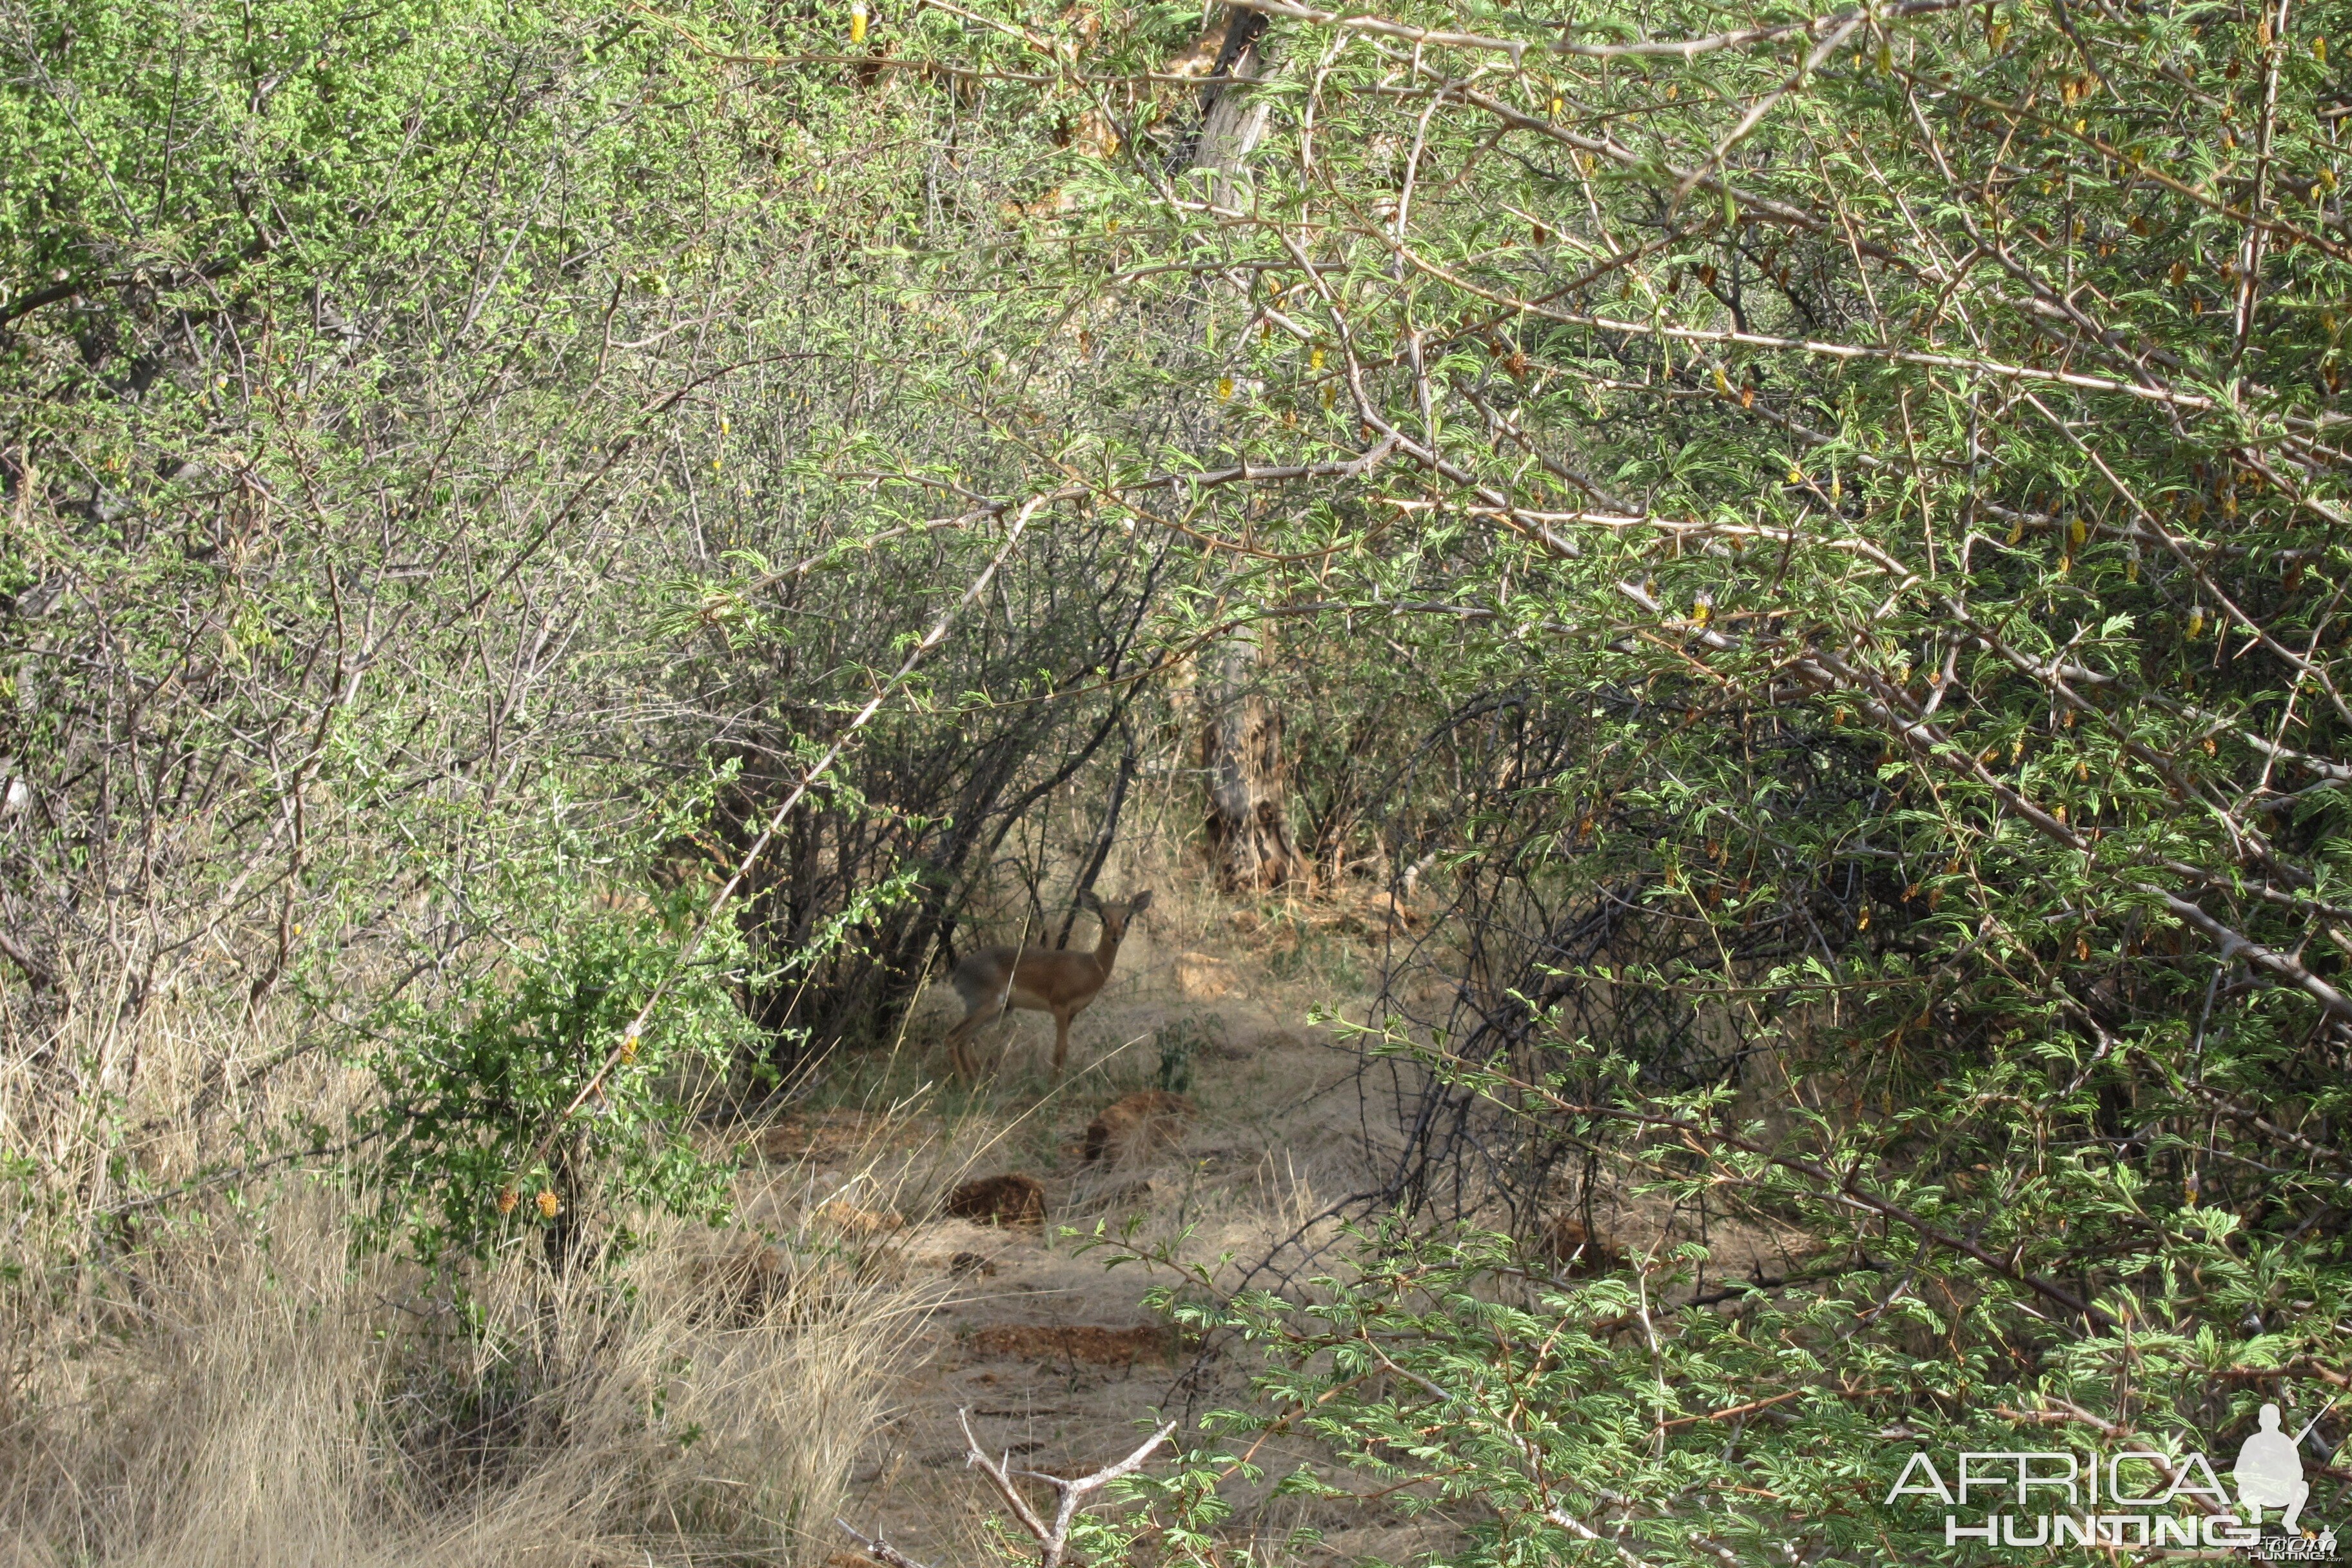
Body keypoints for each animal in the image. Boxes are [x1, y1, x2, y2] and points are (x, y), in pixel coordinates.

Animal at [941, 888, 1152, 1086]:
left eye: (1127, 917)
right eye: (1103, 917)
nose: (1116, 937)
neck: (1090, 966)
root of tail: (958, 971)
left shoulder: (1072, 1013)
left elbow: (1062, 1050)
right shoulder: (1060, 1007)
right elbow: (1060, 1049)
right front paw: (1055, 1088)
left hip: (999, 1011)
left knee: (964, 1040)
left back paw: (974, 1082)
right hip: (988, 1006)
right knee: (952, 1037)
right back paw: (964, 1085)